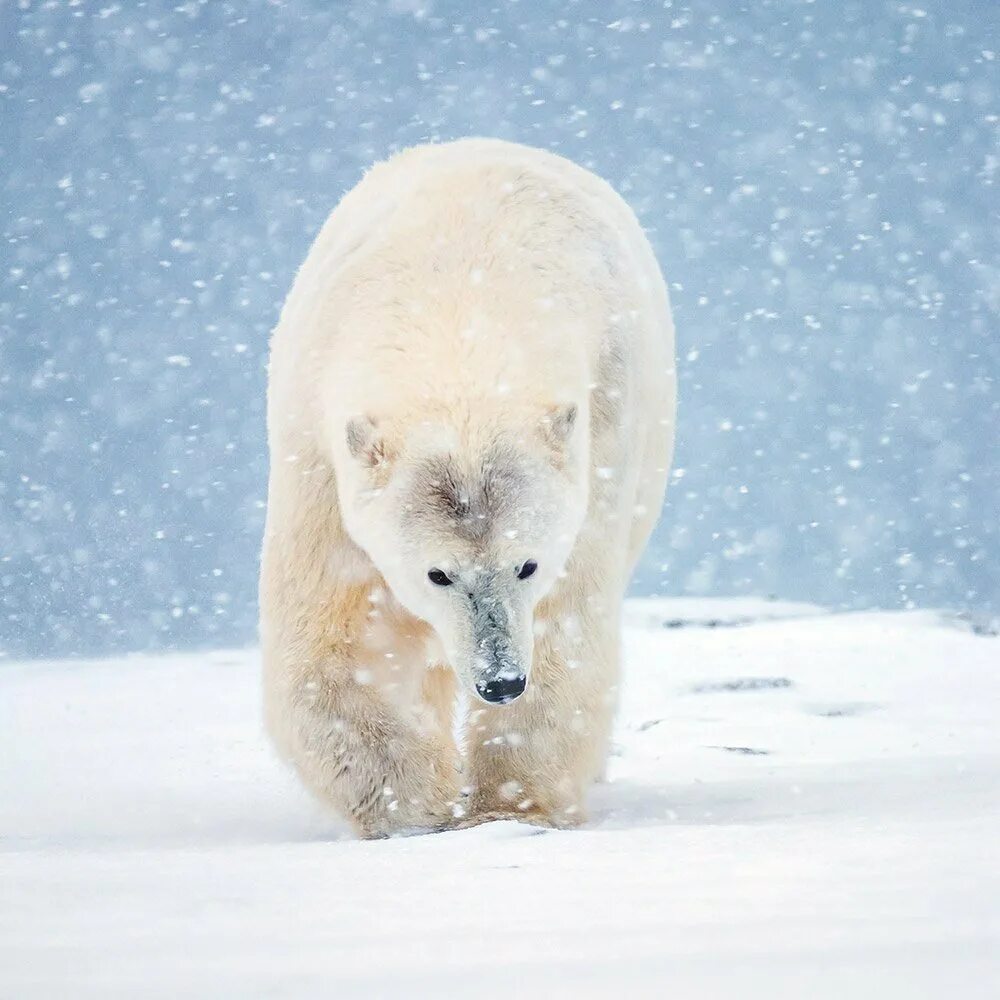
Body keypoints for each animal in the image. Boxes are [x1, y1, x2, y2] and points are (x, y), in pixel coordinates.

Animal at [262, 137, 676, 840]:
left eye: (527, 563)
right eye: (438, 573)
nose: (500, 679)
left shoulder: (603, 425)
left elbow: (566, 627)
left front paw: (507, 805)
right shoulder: (315, 446)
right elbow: (339, 638)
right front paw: (413, 807)